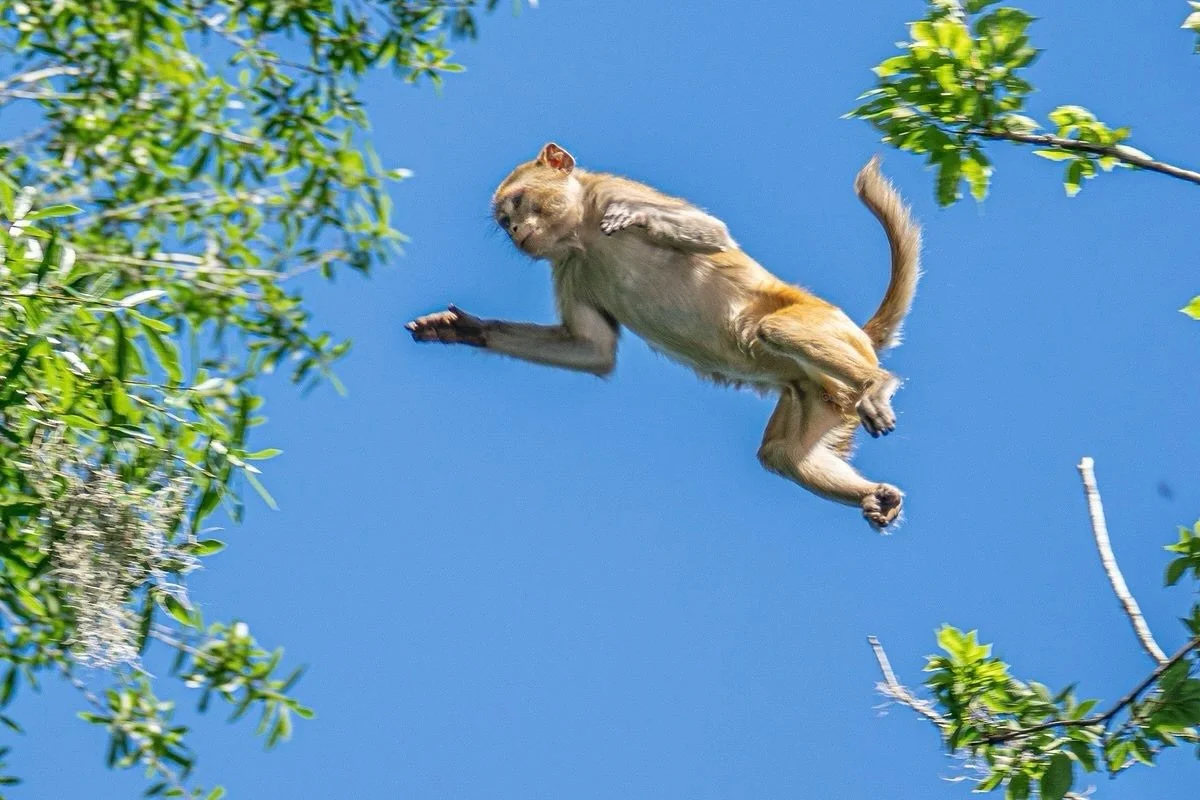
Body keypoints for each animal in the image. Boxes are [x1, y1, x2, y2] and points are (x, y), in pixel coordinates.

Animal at [407, 143, 921, 530]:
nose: (514, 231)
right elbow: (591, 349)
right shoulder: (569, 265)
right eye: (503, 220)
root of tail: (860, 340)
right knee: (782, 454)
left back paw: (878, 385)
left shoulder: (610, 191)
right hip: (817, 392)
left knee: (772, 328)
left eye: (516, 203)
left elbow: (713, 234)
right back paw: (870, 493)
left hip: (828, 326)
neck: (583, 234)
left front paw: (638, 217)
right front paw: (466, 330)